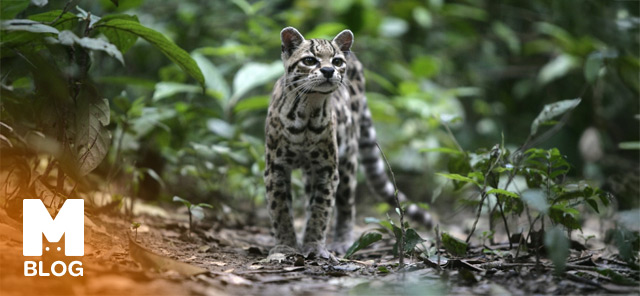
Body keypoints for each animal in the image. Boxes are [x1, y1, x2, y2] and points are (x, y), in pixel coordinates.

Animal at [262, 27, 432, 260]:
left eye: (336, 61)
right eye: (309, 60)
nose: (328, 70)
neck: (307, 110)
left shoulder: (327, 169)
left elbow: (321, 209)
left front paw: (314, 245)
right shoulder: (276, 167)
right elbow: (280, 209)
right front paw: (286, 246)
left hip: (348, 159)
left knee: (346, 206)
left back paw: (342, 242)